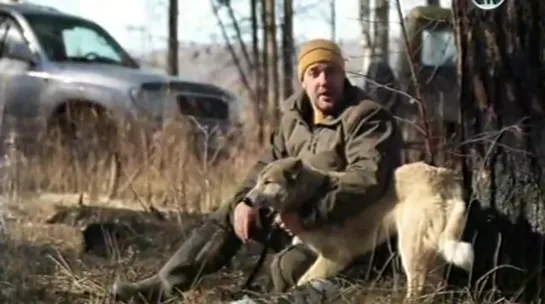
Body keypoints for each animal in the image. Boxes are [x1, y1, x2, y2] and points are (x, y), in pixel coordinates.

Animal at [244, 157, 474, 302]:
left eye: (268, 182)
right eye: (258, 181)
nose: (246, 200)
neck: (309, 196)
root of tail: (444, 177)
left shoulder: (336, 256)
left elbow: (303, 281)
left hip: (411, 248)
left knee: (417, 286)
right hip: (434, 252)